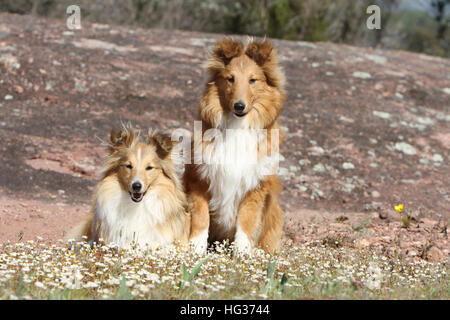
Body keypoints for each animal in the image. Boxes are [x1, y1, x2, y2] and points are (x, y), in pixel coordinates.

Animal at [183, 38, 284, 255]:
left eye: (253, 80)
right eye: (230, 79)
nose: (239, 106)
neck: (237, 126)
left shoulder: (255, 186)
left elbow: (246, 223)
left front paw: (242, 255)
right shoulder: (199, 179)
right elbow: (200, 218)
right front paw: (195, 251)